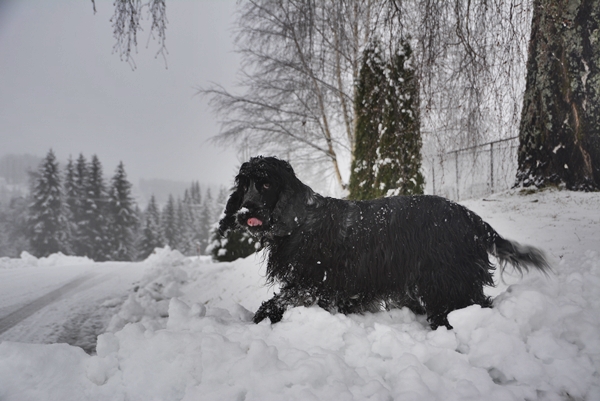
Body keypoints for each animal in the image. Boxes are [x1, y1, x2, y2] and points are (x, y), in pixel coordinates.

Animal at [218, 155, 552, 326]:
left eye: (265, 184)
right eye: (244, 185)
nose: (245, 211)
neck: (299, 221)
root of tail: (470, 216)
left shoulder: (312, 282)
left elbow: (278, 301)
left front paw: (262, 318)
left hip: (449, 282)